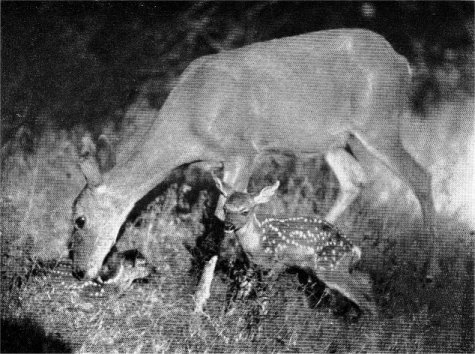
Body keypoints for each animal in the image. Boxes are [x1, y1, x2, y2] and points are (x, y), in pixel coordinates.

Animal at [69, 28, 436, 282]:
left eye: (79, 219)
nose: (78, 271)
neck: (190, 119)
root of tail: (402, 63)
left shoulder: (242, 150)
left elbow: (221, 218)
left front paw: (198, 303)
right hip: (332, 139)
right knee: (354, 180)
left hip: (379, 123)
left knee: (421, 176)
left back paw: (429, 271)